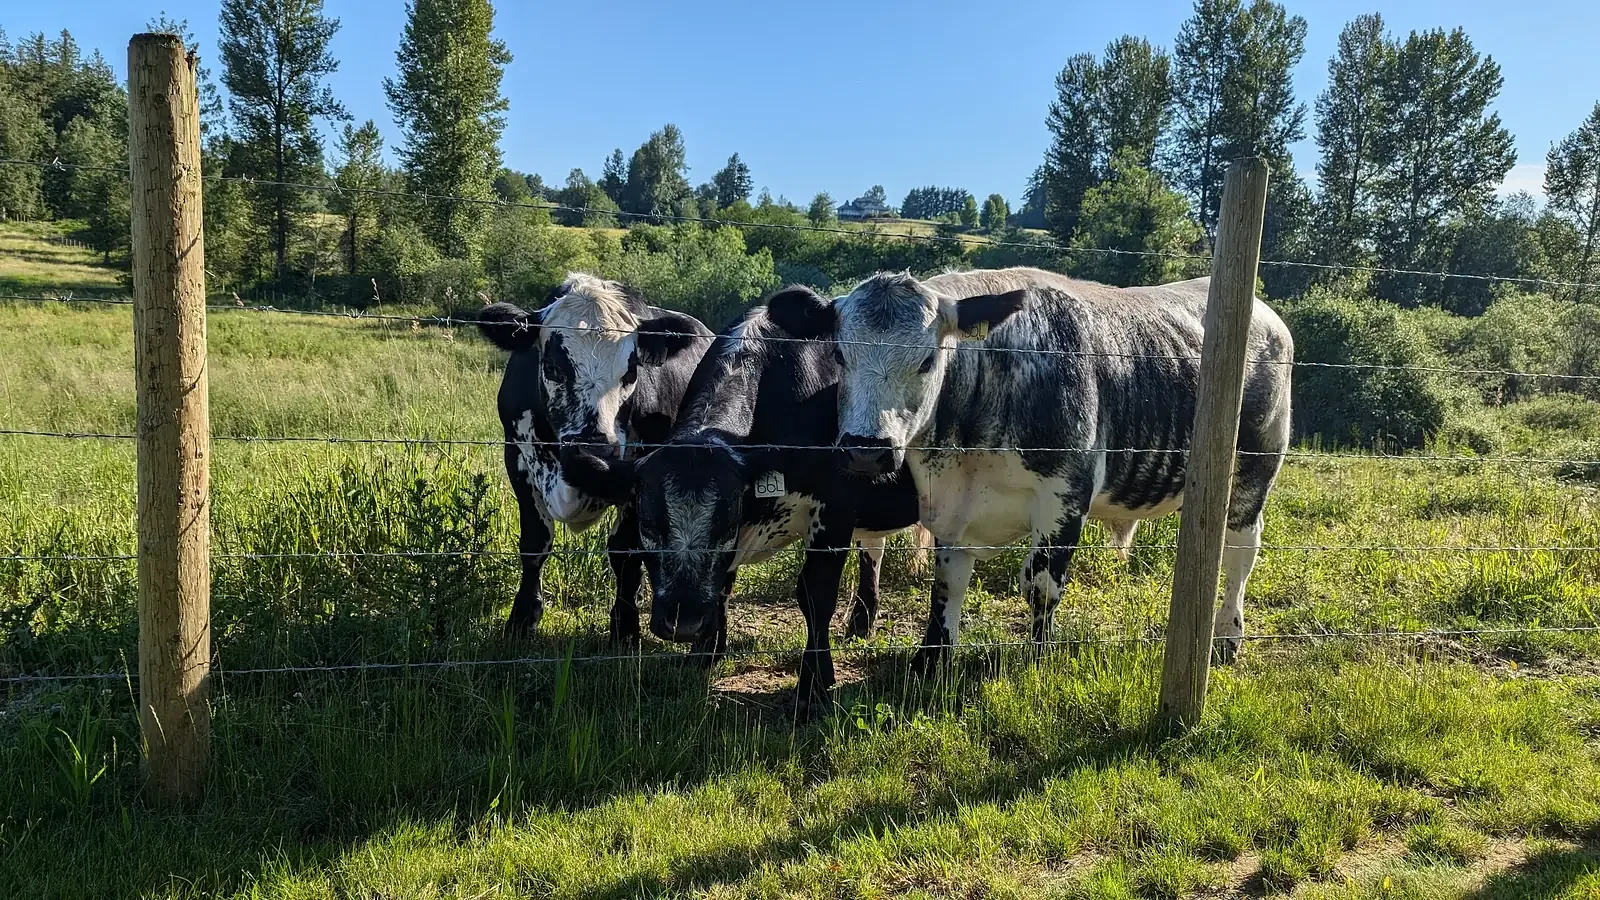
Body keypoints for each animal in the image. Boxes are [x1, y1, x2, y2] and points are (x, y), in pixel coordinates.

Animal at [476, 273, 713, 641]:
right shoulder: (516, 457)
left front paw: (625, 626)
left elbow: (625, 552)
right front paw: (522, 620)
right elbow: (534, 543)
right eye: (552, 366)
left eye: (631, 372)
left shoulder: (639, 474)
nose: (594, 446)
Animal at [618, 293, 929, 715]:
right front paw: (705, 653)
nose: (684, 620)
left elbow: (815, 595)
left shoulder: (834, 509)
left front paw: (814, 686)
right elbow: (724, 582)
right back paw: (861, 623)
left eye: (724, 523)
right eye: (648, 524)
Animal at [768, 268, 1293, 671]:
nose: (866, 450)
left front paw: (1038, 659)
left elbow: (1041, 586)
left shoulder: (1064, 500)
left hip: (1256, 467)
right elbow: (947, 586)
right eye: (839, 354)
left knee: (1240, 550)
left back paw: (1226, 637)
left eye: (928, 359)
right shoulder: (950, 507)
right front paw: (931, 659)